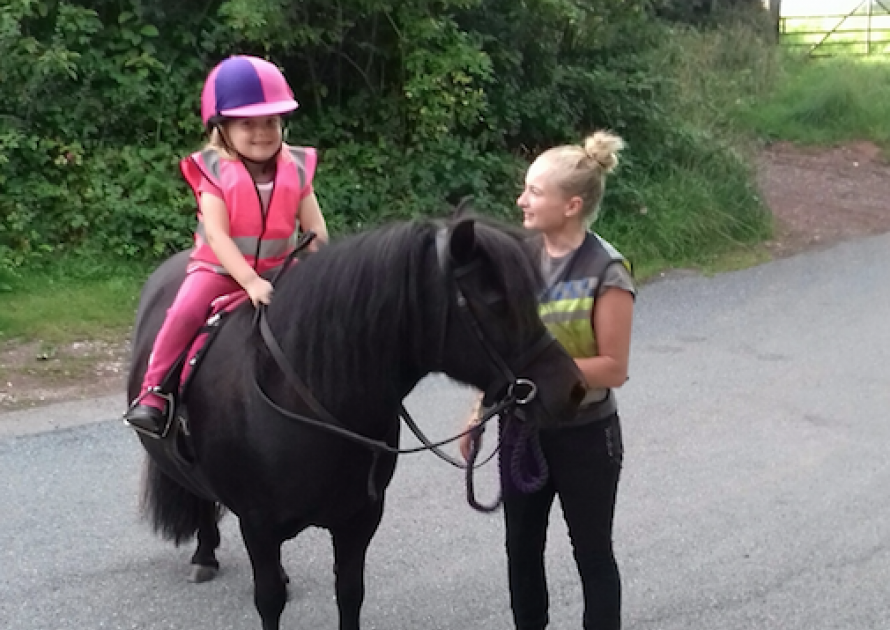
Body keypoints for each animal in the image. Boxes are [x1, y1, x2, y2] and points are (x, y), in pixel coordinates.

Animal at [128, 218, 580, 630]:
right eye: (494, 299)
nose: (572, 388)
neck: (306, 399)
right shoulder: (258, 525)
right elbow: (269, 601)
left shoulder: (359, 519)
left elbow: (349, 593)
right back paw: (204, 554)